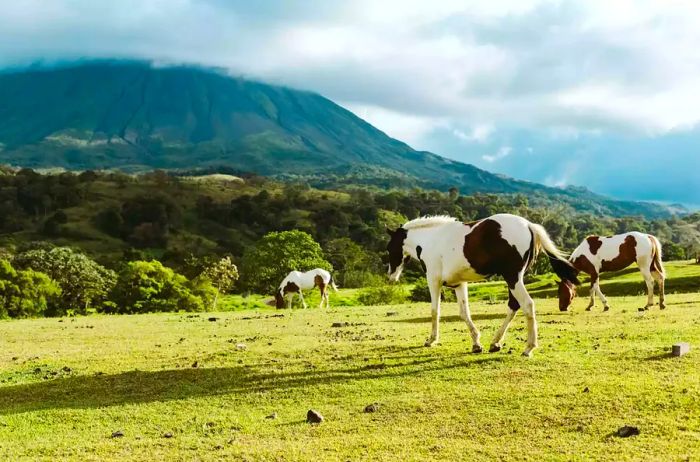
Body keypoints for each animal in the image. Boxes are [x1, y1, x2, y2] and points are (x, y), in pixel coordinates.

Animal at [388, 213, 580, 358]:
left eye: (390, 247)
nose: (391, 276)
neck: (431, 239)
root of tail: (529, 225)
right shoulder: (459, 284)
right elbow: (464, 313)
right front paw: (476, 344)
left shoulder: (433, 281)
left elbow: (435, 311)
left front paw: (431, 340)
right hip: (515, 279)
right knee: (514, 305)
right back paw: (495, 343)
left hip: (513, 278)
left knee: (527, 304)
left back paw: (528, 348)